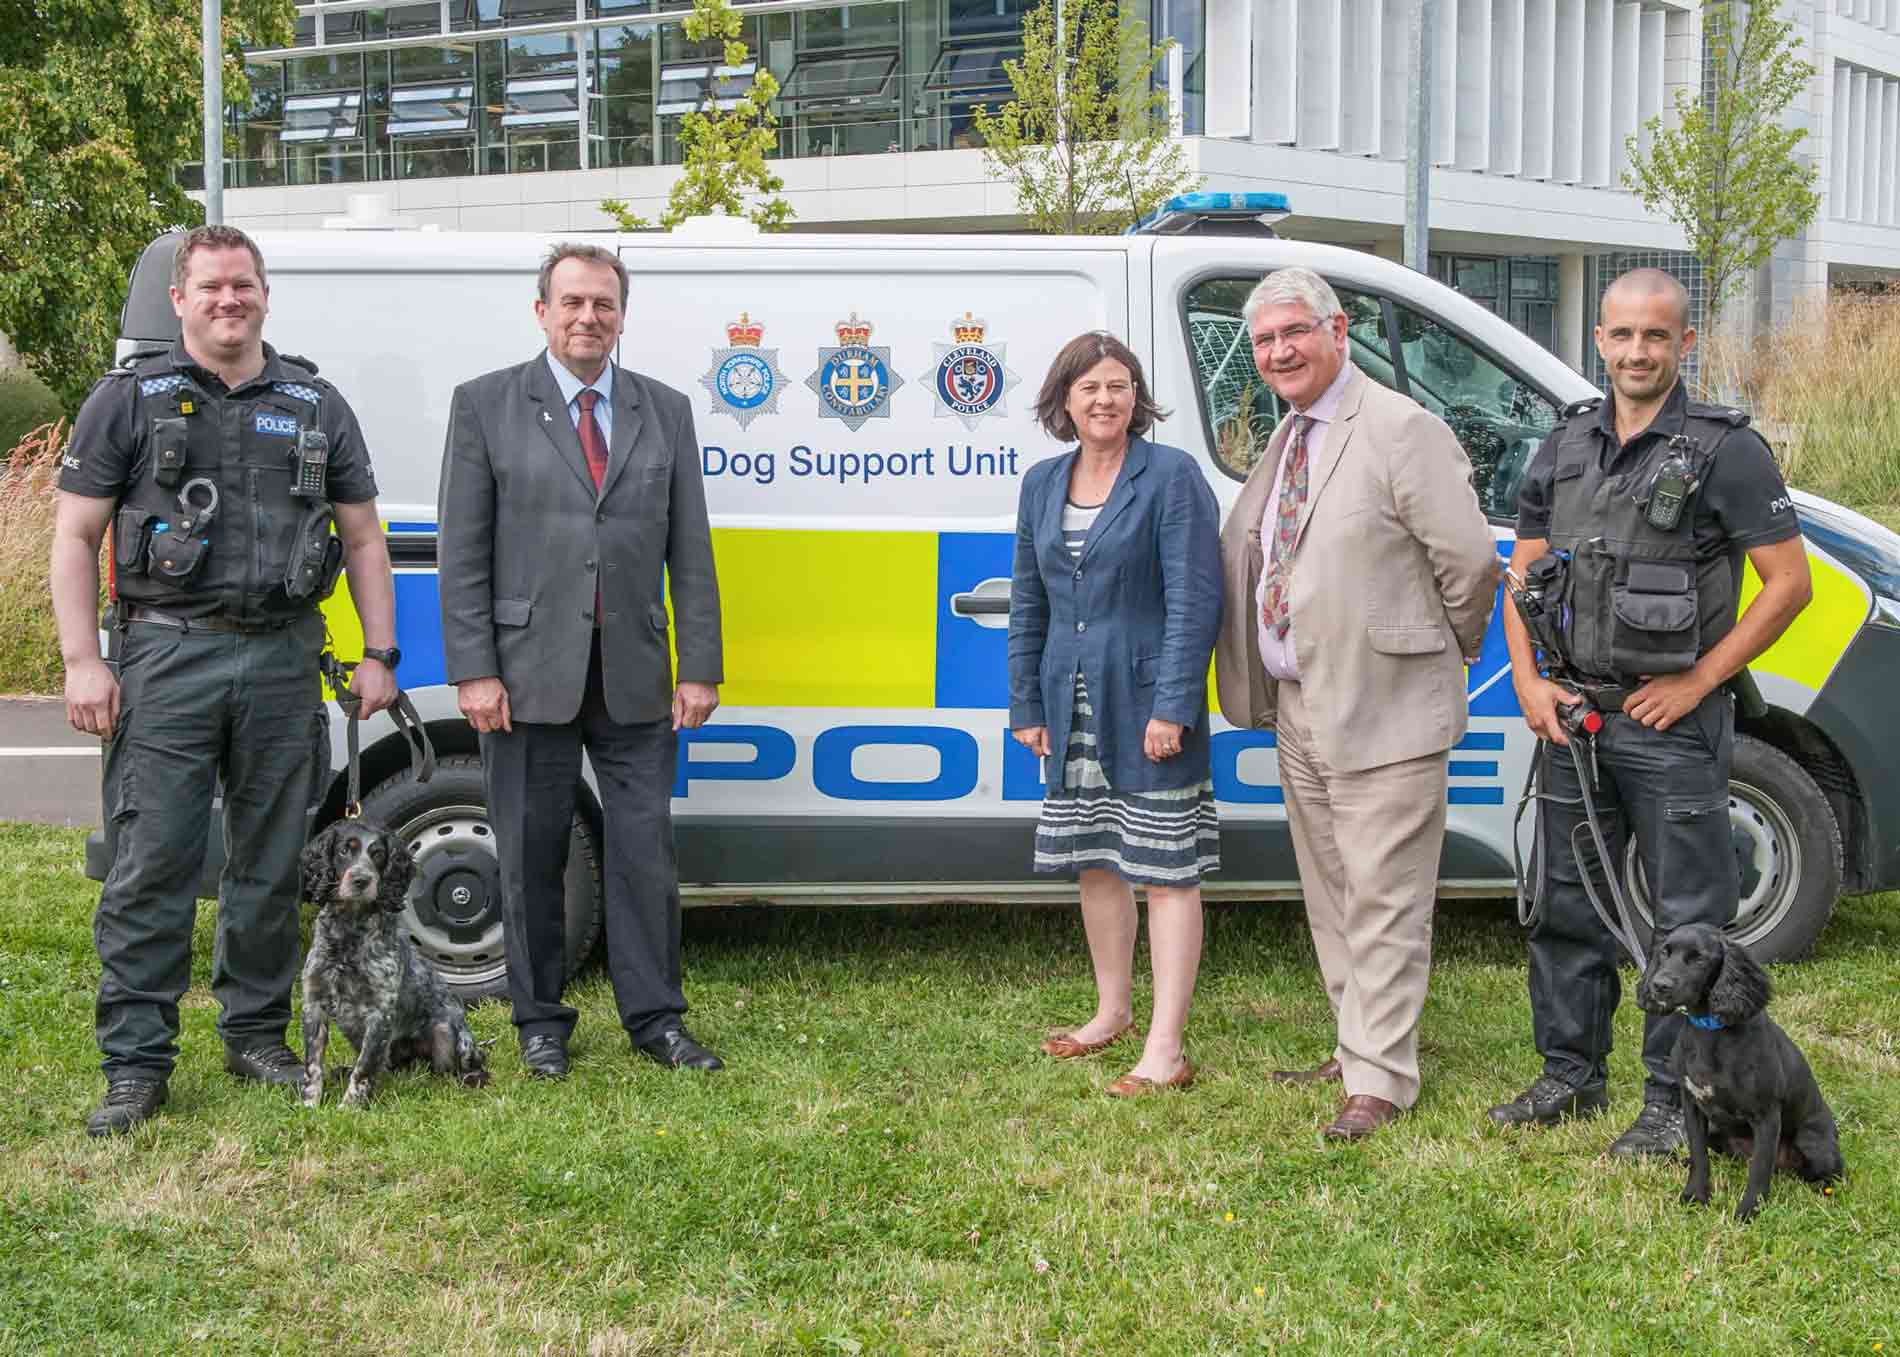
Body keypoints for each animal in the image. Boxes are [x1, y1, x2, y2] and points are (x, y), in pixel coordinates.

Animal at [296, 821, 490, 1102]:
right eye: (344, 850)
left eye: (377, 854)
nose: (361, 880)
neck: (349, 933)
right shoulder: (314, 1003)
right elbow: (313, 1065)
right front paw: (310, 1104)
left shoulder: (380, 1012)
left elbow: (364, 1068)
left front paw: (349, 1106)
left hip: (451, 1034)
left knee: (467, 1064)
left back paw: (472, 1078)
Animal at [1634, 923, 1839, 1223]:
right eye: (1664, 952)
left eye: (1699, 959)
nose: (1659, 986)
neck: (1710, 1030)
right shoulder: (1692, 1106)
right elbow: (1699, 1155)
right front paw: (1695, 1195)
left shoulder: (1766, 1115)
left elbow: (1759, 1170)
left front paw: (1749, 1210)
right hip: (1717, 1130)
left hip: (1815, 1146)